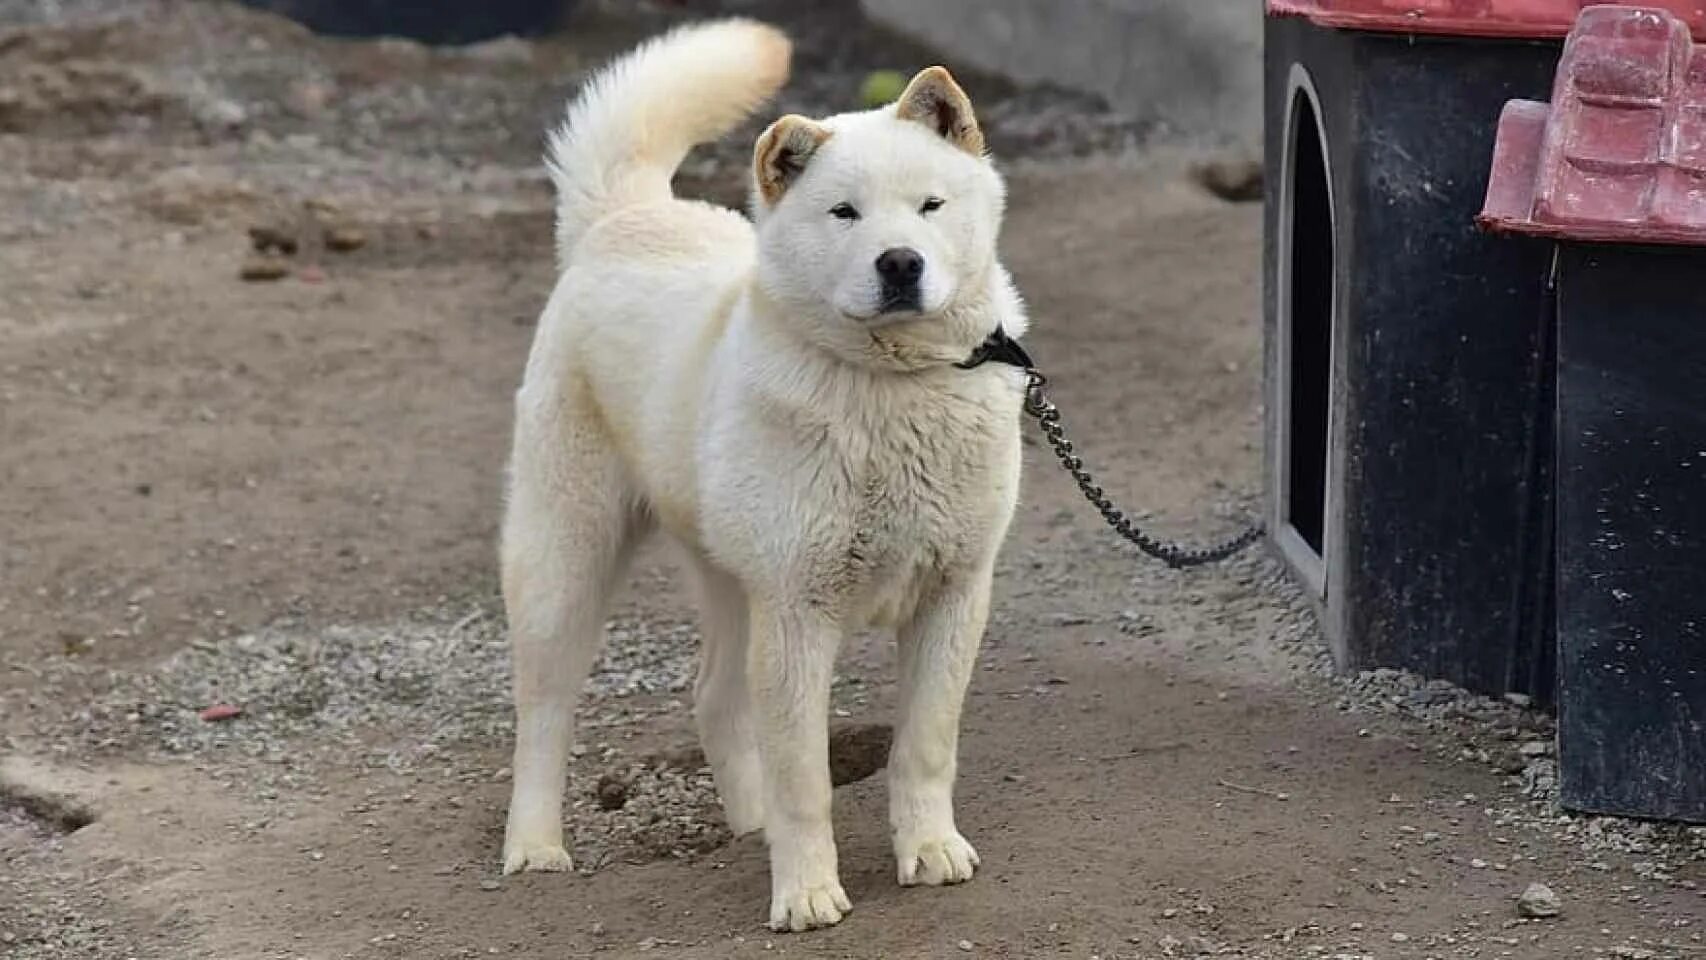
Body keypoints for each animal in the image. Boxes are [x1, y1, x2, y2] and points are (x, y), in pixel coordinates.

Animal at [494, 16, 1023, 934]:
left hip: (732, 584)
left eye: (930, 206)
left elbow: (923, 747)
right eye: (844, 213)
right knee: (545, 712)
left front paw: (930, 851)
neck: (891, 389)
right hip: (568, 565)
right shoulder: (799, 613)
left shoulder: (954, 594)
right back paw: (535, 847)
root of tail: (625, 218)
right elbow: (805, 777)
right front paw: (806, 892)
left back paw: (750, 825)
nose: (899, 263)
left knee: (713, 697)